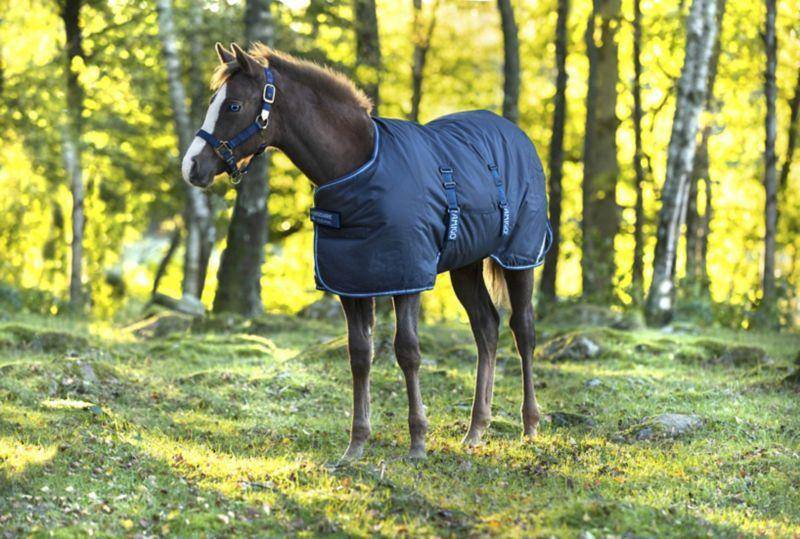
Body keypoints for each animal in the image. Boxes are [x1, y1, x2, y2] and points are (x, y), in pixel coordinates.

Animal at [182, 43, 551, 461]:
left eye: (233, 106)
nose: (191, 166)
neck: (357, 168)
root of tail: (515, 134)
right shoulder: (353, 281)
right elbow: (359, 355)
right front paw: (356, 445)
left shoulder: (407, 278)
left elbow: (407, 351)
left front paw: (417, 442)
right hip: (466, 266)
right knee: (486, 328)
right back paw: (476, 430)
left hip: (519, 259)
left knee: (523, 329)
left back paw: (529, 425)